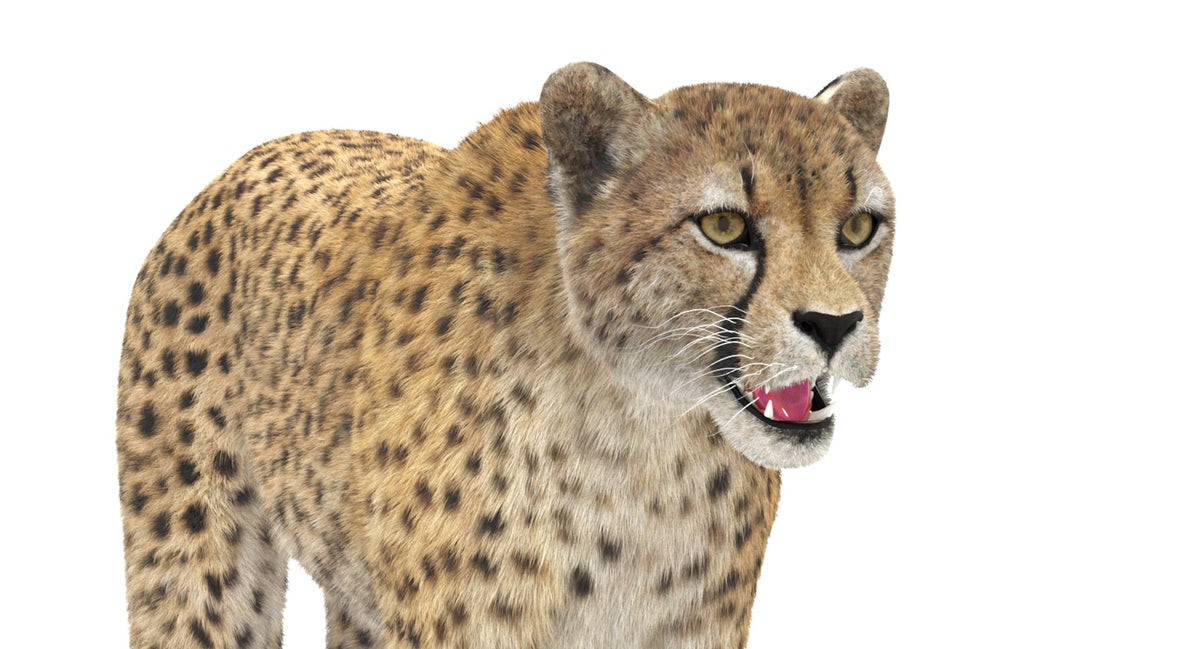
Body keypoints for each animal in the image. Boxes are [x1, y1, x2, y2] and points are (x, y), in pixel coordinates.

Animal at [116, 62, 893, 649]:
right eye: (725, 226)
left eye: (859, 228)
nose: (834, 324)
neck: (644, 438)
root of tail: (263, 150)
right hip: (200, 577)